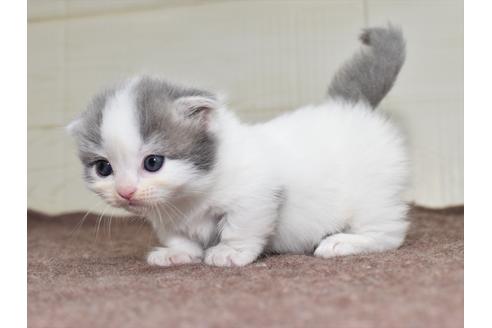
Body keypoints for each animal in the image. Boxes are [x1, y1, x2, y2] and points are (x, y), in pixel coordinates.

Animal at [67, 25, 410, 266]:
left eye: (153, 162)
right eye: (103, 168)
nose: (125, 192)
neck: (189, 197)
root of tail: (351, 105)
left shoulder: (257, 194)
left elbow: (240, 226)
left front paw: (228, 252)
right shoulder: (166, 217)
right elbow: (178, 236)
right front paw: (177, 253)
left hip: (373, 193)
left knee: (389, 231)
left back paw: (345, 242)